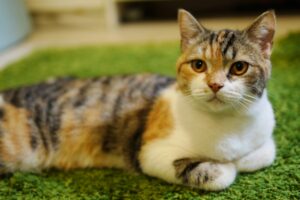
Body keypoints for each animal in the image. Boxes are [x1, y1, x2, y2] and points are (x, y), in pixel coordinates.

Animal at [0, 9, 276, 191]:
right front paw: (226, 166)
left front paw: (240, 160)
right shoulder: (149, 152)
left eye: (239, 67)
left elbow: (266, 152)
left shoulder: (265, 134)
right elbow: (216, 173)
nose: (215, 84)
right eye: (198, 65)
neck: (226, 126)